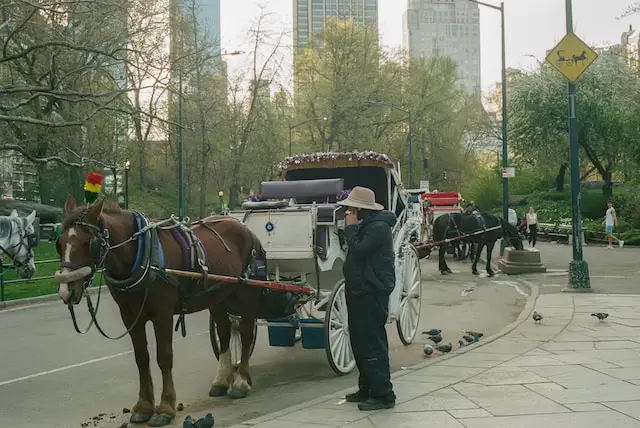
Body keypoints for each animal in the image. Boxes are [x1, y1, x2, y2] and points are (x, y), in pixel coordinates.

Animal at [53, 196, 264, 426]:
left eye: (87, 243)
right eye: (59, 244)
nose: (66, 291)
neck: (141, 255)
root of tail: (244, 228)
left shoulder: (162, 314)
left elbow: (164, 357)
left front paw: (165, 408)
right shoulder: (130, 316)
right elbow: (141, 358)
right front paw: (144, 406)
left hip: (246, 292)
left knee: (245, 332)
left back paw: (241, 380)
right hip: (217, 295)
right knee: (225, 332)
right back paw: (221, 380)